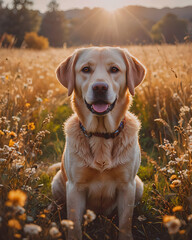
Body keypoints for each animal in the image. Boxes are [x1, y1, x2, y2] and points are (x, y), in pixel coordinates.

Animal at [51, 47, 147, 240]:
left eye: (115, 69)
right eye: (86, 69)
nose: (100, 87)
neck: (101, 136)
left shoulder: (127, 186)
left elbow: (125, 223)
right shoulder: (75, 188)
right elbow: (75, 226)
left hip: (138, 185)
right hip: (57, 182)